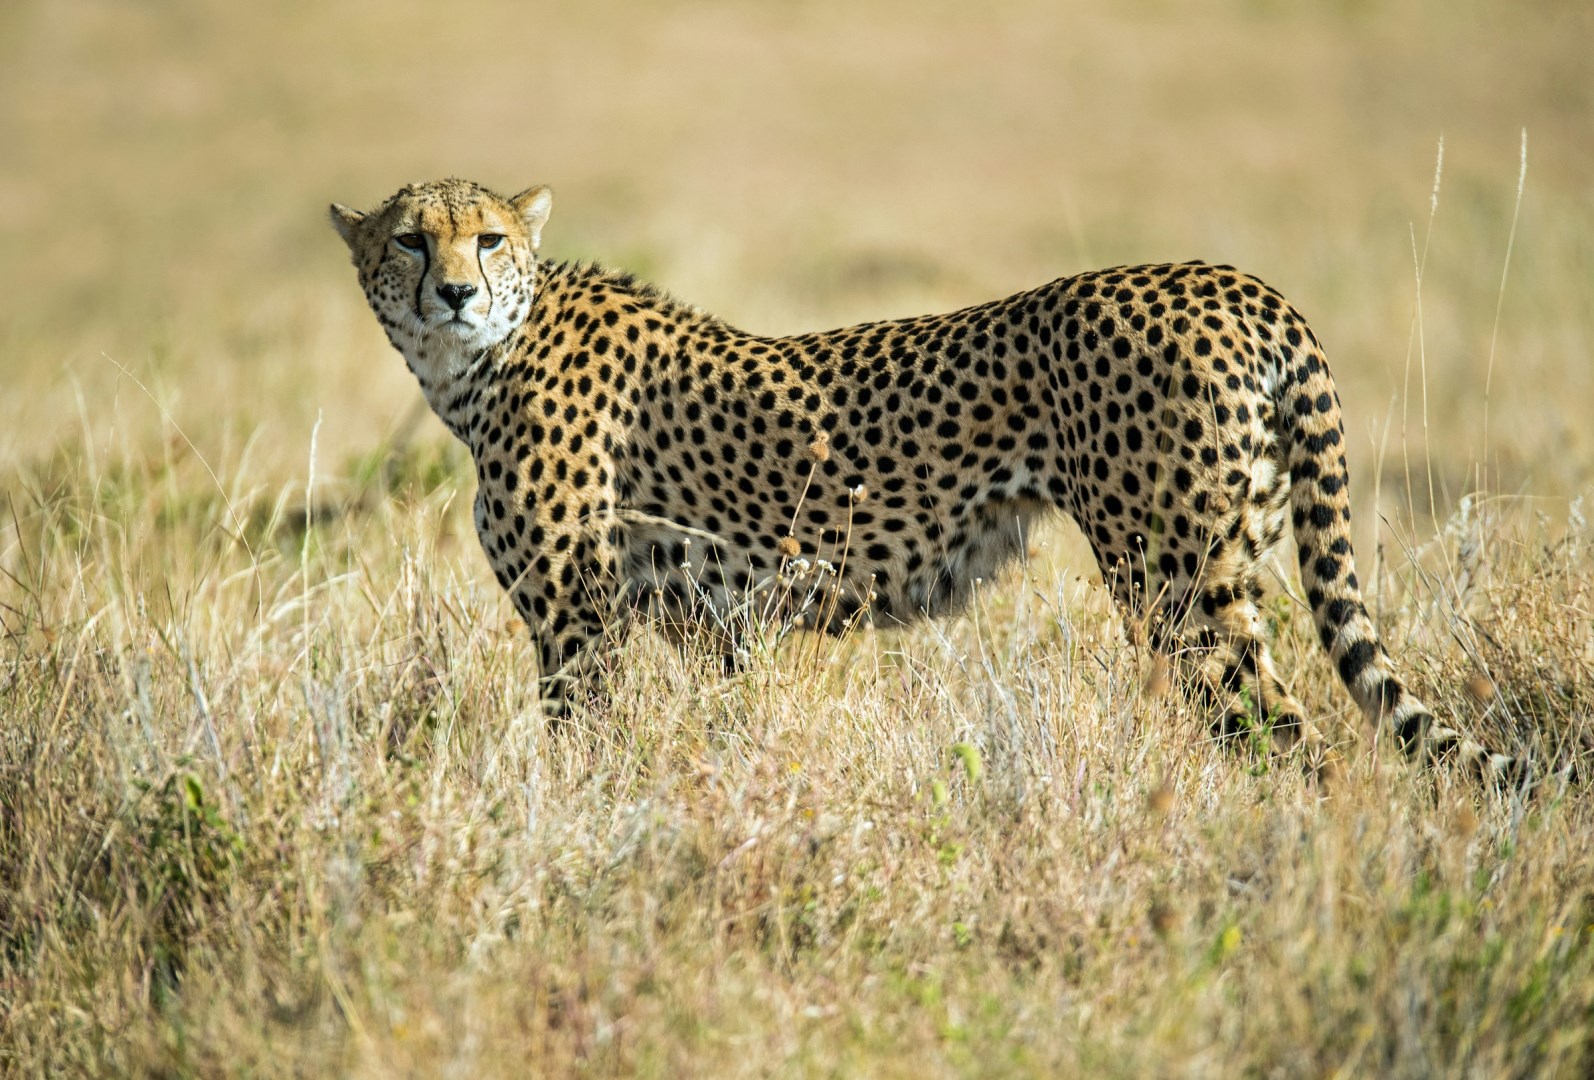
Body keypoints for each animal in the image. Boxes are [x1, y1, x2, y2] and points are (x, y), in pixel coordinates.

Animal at [330, 176, 1521, 784]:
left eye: (487, 239)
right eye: (408, 240)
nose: (452, 292)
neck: (479, 363)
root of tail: (1234, 280)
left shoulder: (577, 622)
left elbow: (580, 749)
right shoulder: (714, 628)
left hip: (1178, 582)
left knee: (1289, 736)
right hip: (1239, 544)